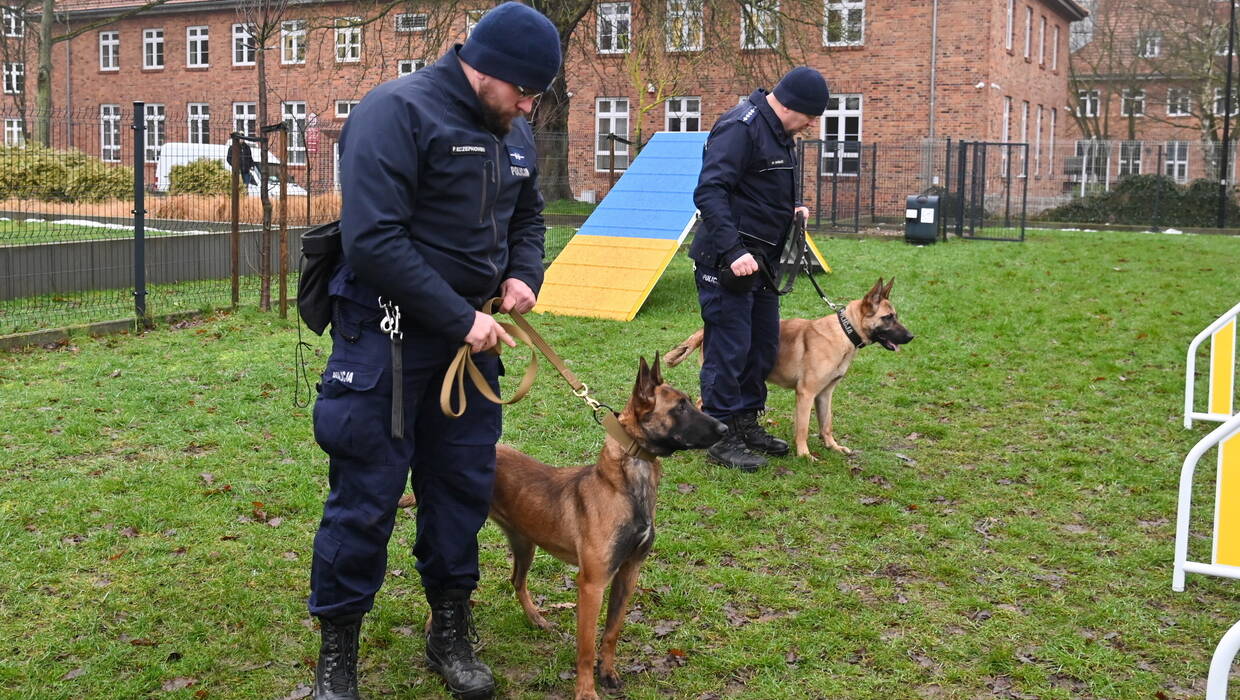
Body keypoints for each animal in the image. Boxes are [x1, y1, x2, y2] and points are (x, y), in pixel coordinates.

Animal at [486, 356, 724, 693]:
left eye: (690, 402)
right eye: (679, 407)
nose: (725, 427)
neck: (624, 487)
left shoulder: (628, 572)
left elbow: (612, 632)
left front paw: (608, 672)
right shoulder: (592, 584)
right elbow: (585, 647)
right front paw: (586, 691)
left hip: (524, 544)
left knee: (516, 581)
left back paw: (536, 619)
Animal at [669, 276, 912, 460]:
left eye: (896, 316)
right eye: (888, 318)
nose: (911, 337)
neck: (844, 331)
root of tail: (703, 330)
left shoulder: (825, 394)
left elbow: (827, 423)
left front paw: (832, 446)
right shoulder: (806, 394)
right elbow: (803, 428)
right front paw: (804, 455)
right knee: (703, 403)